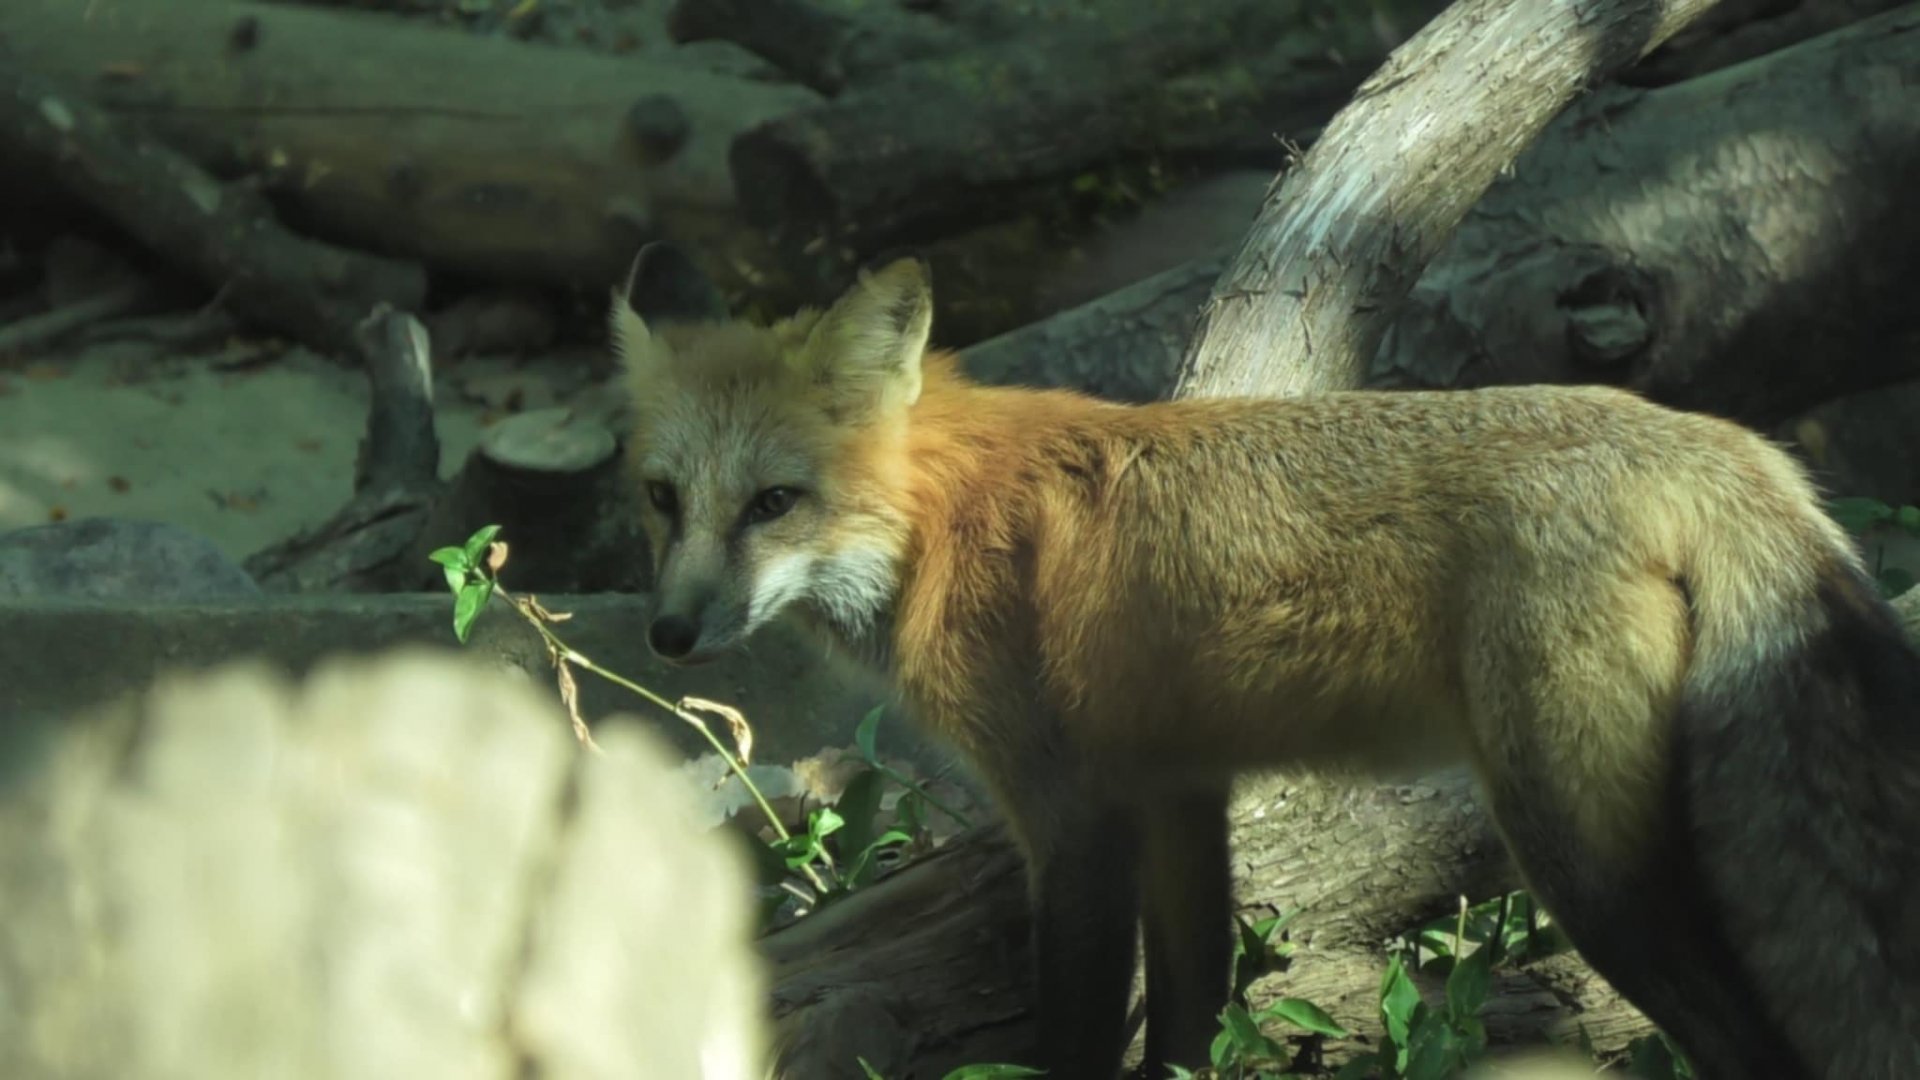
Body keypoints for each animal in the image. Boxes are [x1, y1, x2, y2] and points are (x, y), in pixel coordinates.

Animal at [610, 241, 1920, 1080]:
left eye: (775, 503)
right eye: (662, 499)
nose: (670, 635)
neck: (945, 519)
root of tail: (1720, 445)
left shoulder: (1071, 816)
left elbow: (1079, 1037)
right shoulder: (1180, 793)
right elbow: (1189, 1016)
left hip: (1582, 860)